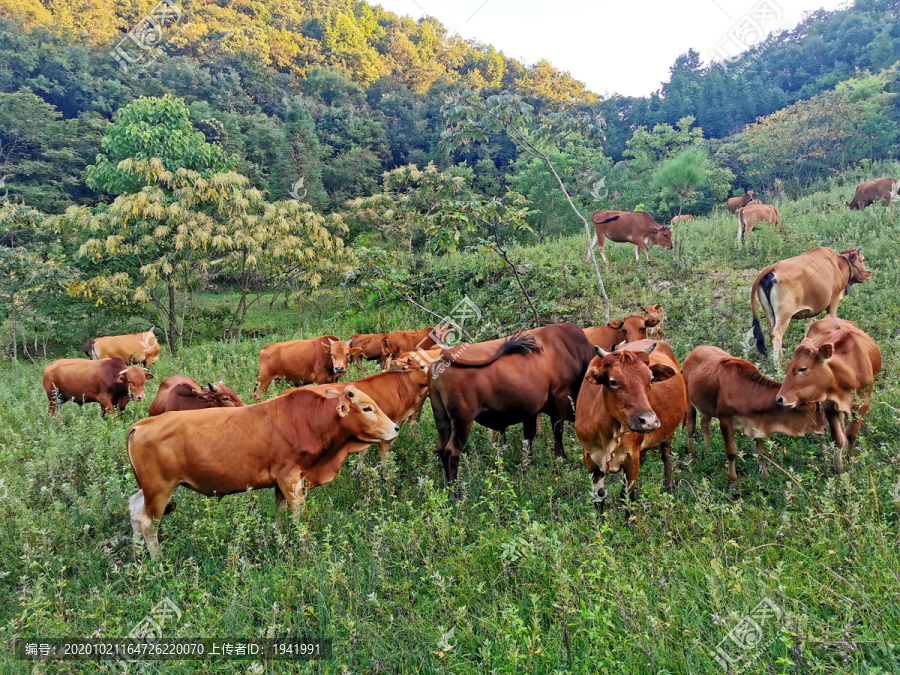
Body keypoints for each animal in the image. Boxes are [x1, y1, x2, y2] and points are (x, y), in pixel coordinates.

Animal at [125, 386, 398, 556]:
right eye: (367, 408)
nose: (395, 427)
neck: (307, 421)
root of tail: (141, 425)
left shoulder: (280, 481)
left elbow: (279, 514)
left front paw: (279, 539)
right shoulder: (290, 478)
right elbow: (298, 516)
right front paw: (306, 547)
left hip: (149, 489)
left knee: (135, 508)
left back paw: (139, 558)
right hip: (160, 489)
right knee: (148, 523)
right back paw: (158, 561)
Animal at [430, 324, 596, 484]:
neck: (574, 353)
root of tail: (443, 357)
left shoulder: (532, 410)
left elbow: (528, 437)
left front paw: (528, 465)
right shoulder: (560, 399)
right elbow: (558, 432)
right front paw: (561, 460)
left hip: (442, 419)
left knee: (441, 449)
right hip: (462, 421)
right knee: (452, 451)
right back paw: (455, 489)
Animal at [572, 344, 684, 516]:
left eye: (651, 379)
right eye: (613, 381)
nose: (649, 421)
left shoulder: (631, 458)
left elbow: (627, 496)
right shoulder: (590, 458)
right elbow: (598, 498)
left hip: (667, 435)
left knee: (666, 456)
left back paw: (669, 488)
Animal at [684, 348, 828, 486]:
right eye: (809, 409)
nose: (824, 428)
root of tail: (694, 351)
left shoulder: (758, 424)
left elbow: (761, 453)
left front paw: (765, 477)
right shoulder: (725, 421)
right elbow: (731, 452)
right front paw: (732, 481)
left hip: (706, 407)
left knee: (705, 424)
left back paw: (709, 452)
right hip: (689, 402)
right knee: (691, 427)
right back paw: (692, 456)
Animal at [776, 316, 884, 470]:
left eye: (802, 368)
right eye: (788, 368)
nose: (780, 399)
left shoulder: (864, 403)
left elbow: (852, 434)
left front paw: (850, 462)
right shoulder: (829, 404)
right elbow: (838, 439)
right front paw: (839, 469)